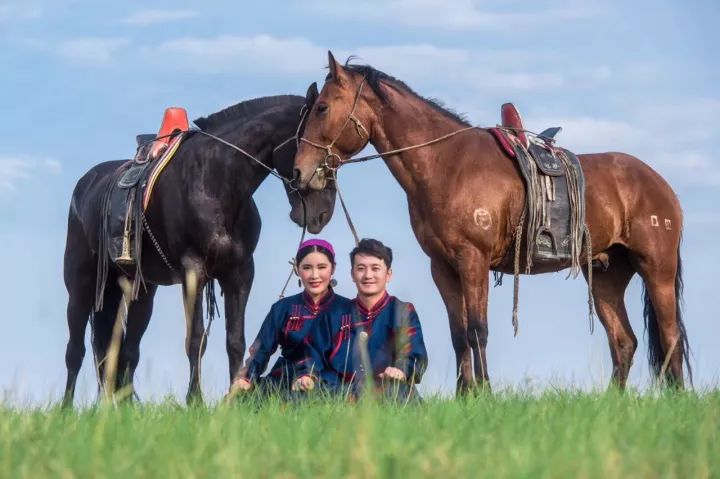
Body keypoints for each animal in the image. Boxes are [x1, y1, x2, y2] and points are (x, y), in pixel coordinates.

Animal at [63, 85, 330, 404]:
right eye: (314, 141)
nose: (321, 214)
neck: (215, 181)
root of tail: (85, 184)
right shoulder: (193, 270)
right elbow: (196, 339)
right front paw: (195, 400)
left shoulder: (240, 273)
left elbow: (235, 340)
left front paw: (234, 398)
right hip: (81, 286)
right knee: (75, 351)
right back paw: (65, 408)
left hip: (142, 290)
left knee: (125, 352)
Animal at [292, 52, 692, 392]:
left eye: (323, 107)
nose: (299, 172)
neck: (446, 163)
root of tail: (661, 186)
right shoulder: (443, 266)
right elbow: (458, 334)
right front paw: (464, 394)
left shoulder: (474, 259)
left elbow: (476, 329)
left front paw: (483, 392)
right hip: (607, 277)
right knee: (623, 342)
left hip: (656, 269)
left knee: (670, 335)